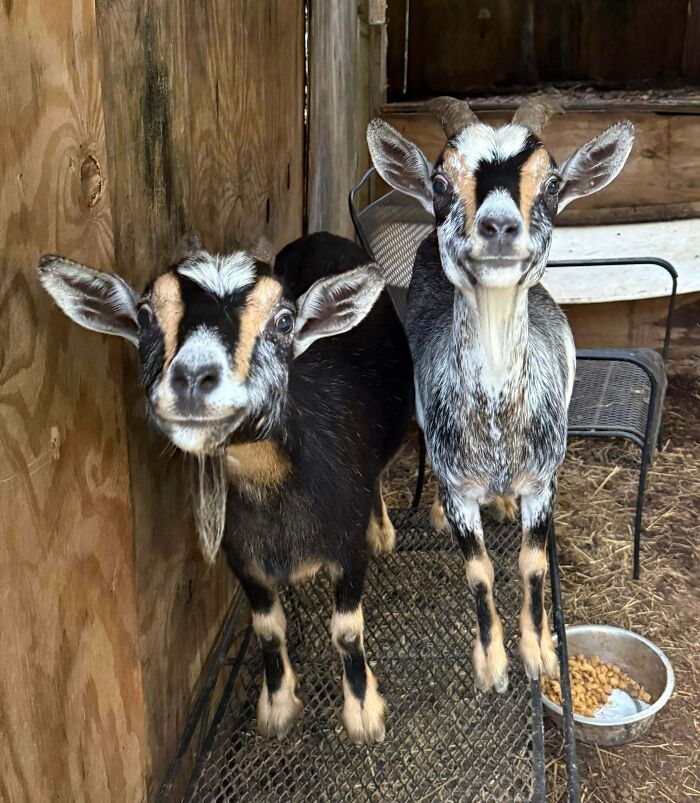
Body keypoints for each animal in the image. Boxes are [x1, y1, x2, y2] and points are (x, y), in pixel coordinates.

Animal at [38, 231, 414, 742]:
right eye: (145, 315)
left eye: (284, 320)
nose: (194, 379)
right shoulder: (243, 559)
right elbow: (267, 628)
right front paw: (277, 705)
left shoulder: (347, 548)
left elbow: (347, 630)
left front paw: (362, 712)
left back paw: (383, 531)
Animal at [367, 97, 634, 691]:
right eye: (440, 181)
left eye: (552, 184)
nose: (499, 226)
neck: (496, 429)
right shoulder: (460, 487)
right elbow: (479, 570)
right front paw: (491, 663)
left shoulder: (544, 482)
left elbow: (531, 565)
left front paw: (537, 652)